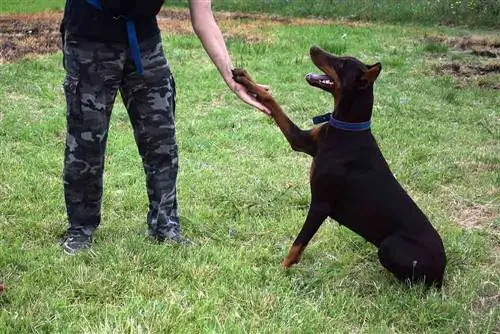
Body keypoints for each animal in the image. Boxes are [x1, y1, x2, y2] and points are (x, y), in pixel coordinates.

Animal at [232, 46, 448, 288]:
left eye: (343, 64)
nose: (313, 47)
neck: (347, 129)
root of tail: (443, 270)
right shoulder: (301, 141)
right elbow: (271, 100)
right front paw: (245, 78)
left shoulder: (320, 203)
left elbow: (298, 243)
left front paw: (280, 272)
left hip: (389, 246)